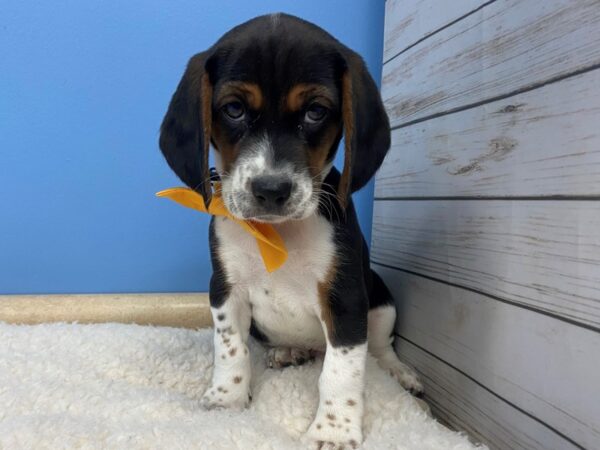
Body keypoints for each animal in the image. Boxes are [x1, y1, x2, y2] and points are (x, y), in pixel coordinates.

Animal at [159, 12, 422, 448]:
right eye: (233, 109)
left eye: (316, 111)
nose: (270, 189)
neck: (279, 233)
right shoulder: (226, 289)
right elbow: (230, 348)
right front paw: (226, 399)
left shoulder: (345, 298)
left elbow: (342, 371)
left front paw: (334, 430)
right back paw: (286, 352)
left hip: (381, 297)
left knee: (381, 348)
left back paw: (400, 373)